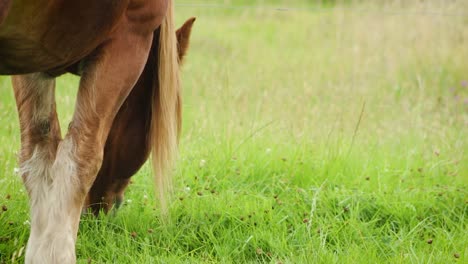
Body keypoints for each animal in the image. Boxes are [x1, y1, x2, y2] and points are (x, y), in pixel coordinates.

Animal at [0, 1, 194, 262]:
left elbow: (38, 154)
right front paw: (56, 252)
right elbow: (82, 157)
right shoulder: (129, 39)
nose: (96, 214)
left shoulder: (32, 56)